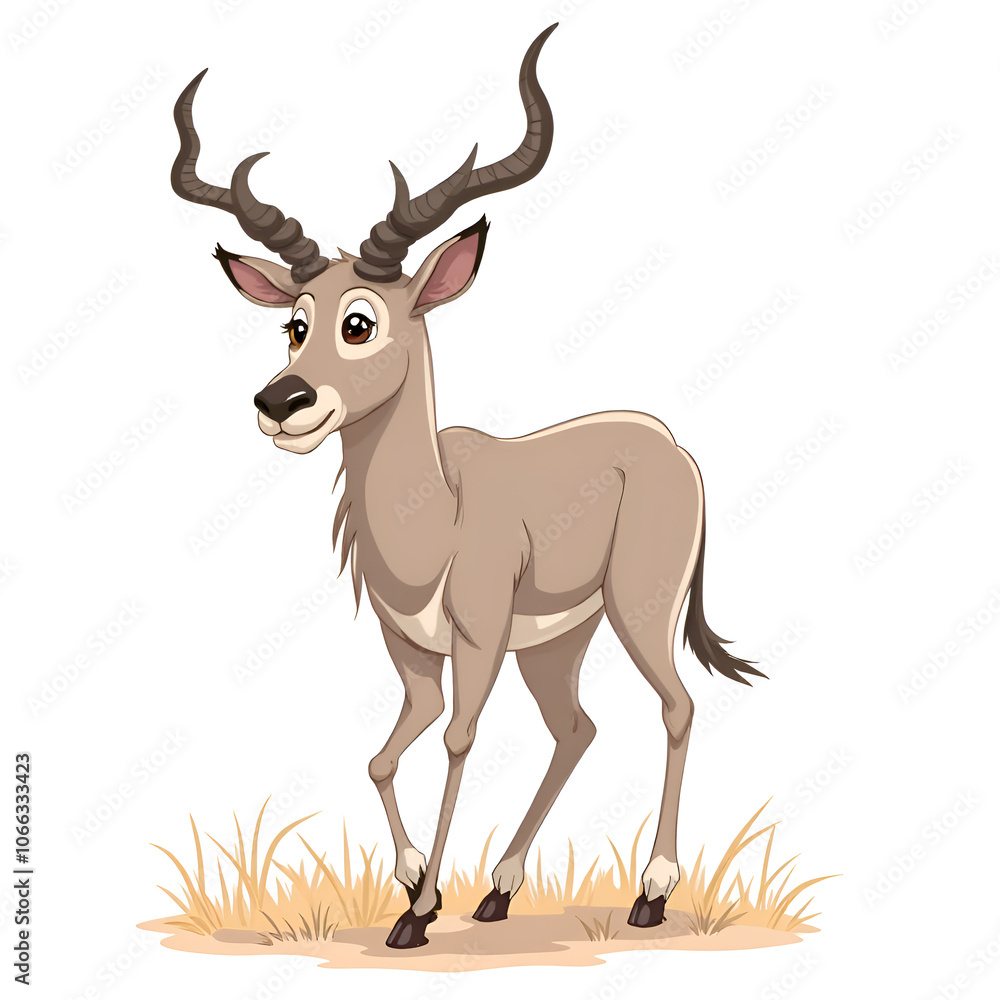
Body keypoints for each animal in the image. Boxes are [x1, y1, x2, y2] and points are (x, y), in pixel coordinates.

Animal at [170, 24, 763, 949]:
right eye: (294, 323)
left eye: (360, 320)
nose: (280, 402)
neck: (433, 522)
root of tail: (670, 446)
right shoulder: (412, 649)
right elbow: (381, 755)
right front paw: (421, 880)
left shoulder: (479, 640)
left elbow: (457, 739)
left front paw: (415, 914)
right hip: (558, 641)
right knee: (577, 728)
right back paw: (499, 893)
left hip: (636, 611)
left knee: (676, 708)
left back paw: (650, 893)